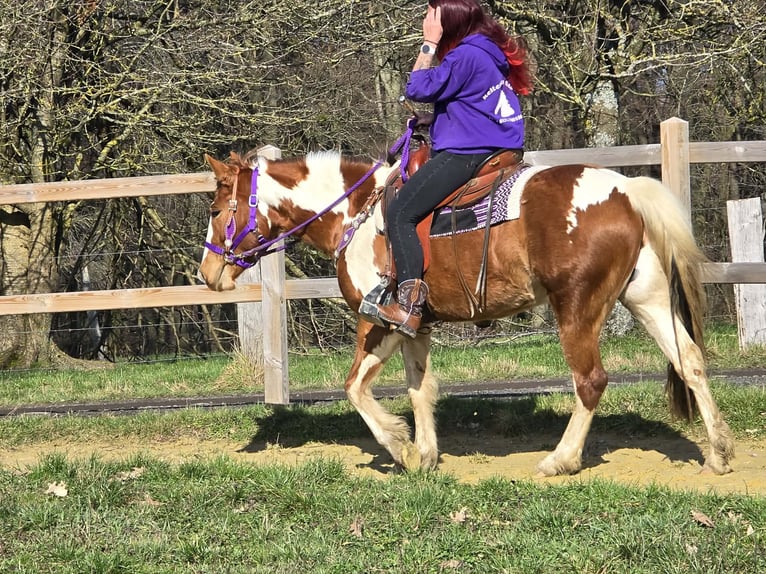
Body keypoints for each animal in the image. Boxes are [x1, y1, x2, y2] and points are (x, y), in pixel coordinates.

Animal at [197, 148, 734, 477]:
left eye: (218, 210)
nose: (207, 273)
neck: (356, 215)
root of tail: (625, 191)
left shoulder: (377, 322)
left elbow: (354, 388)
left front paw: (400, 448)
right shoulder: (412, 327)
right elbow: (419, 389)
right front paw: (426, 454)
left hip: (577, 308)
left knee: (591, 381)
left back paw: (560, 459)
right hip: (646, 297)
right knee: (690, 360)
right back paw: (719, 453)